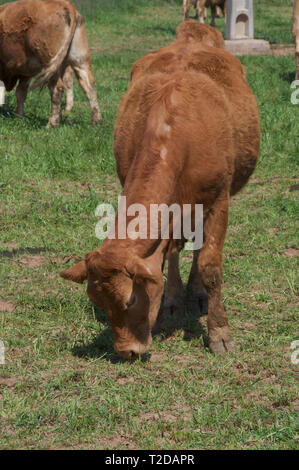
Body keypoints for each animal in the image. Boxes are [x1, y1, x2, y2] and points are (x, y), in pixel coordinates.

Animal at [61, 21, 260, 360]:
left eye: (130, 299)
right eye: (98, 302)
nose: (127, 351)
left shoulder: (218, 201)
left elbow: (210, 266)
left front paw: (219, 332)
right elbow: (171, 253)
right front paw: (171, 300)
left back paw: (198, 294)